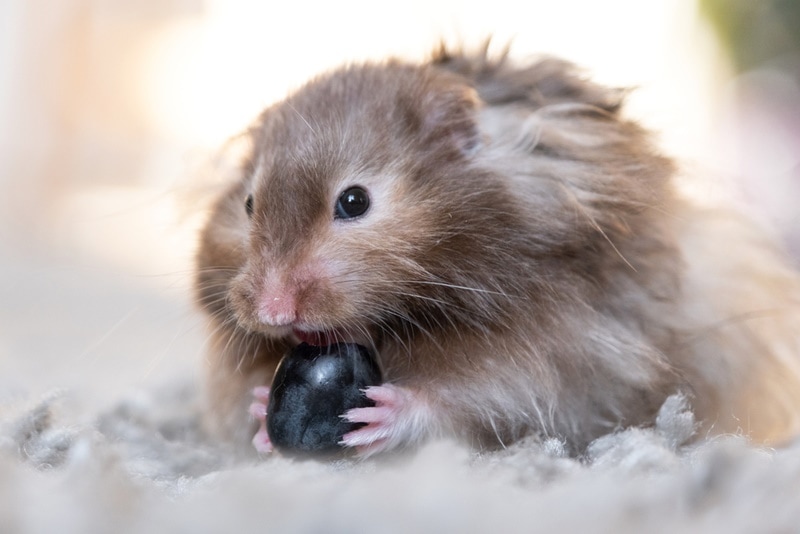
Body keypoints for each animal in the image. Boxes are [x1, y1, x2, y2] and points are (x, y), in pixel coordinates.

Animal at [195, 45, 800, 456]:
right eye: (248, 204)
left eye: (353, 201)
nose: (274, 311)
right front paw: (260, 412)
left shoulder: (570, 349)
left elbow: (480, 396)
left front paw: (380, 414)